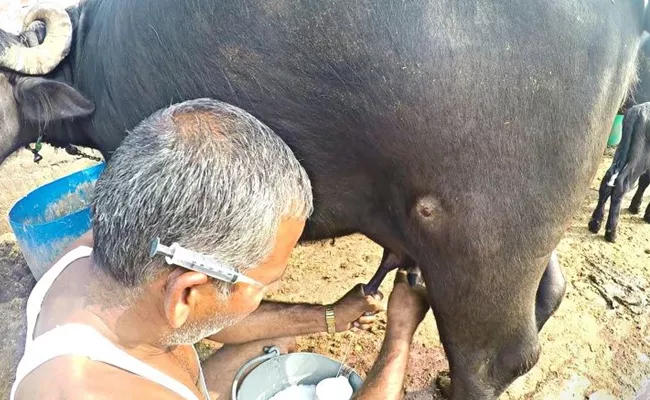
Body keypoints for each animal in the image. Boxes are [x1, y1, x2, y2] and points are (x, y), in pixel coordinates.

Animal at [588, 101, 648, 242]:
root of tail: (638, 111)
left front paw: (635, 207)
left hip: (621, 149)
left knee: (607, 179)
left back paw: (595, 223)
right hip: (640, 156)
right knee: (622, 184)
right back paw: (611, 233)